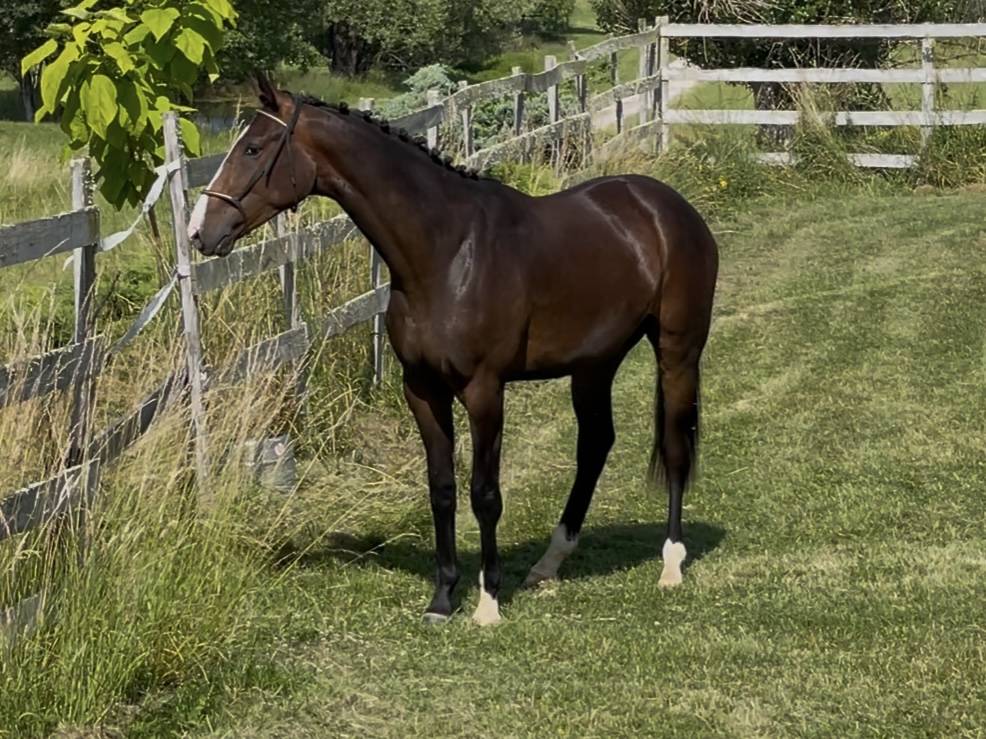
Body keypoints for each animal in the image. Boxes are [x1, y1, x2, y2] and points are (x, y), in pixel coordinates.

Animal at [188, 76, 719, 626]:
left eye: (253, 148)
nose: (200, 231)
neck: (447, 252)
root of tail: (666, 206)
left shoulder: (484, 391)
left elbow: (485, 493)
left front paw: (488, 601)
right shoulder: (422, 390)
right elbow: (441, 488)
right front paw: (443, 597)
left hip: (677, 350)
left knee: (674, 446)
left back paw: (670, 564)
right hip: (595, 364)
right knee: (595, 444)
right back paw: (549, 563)